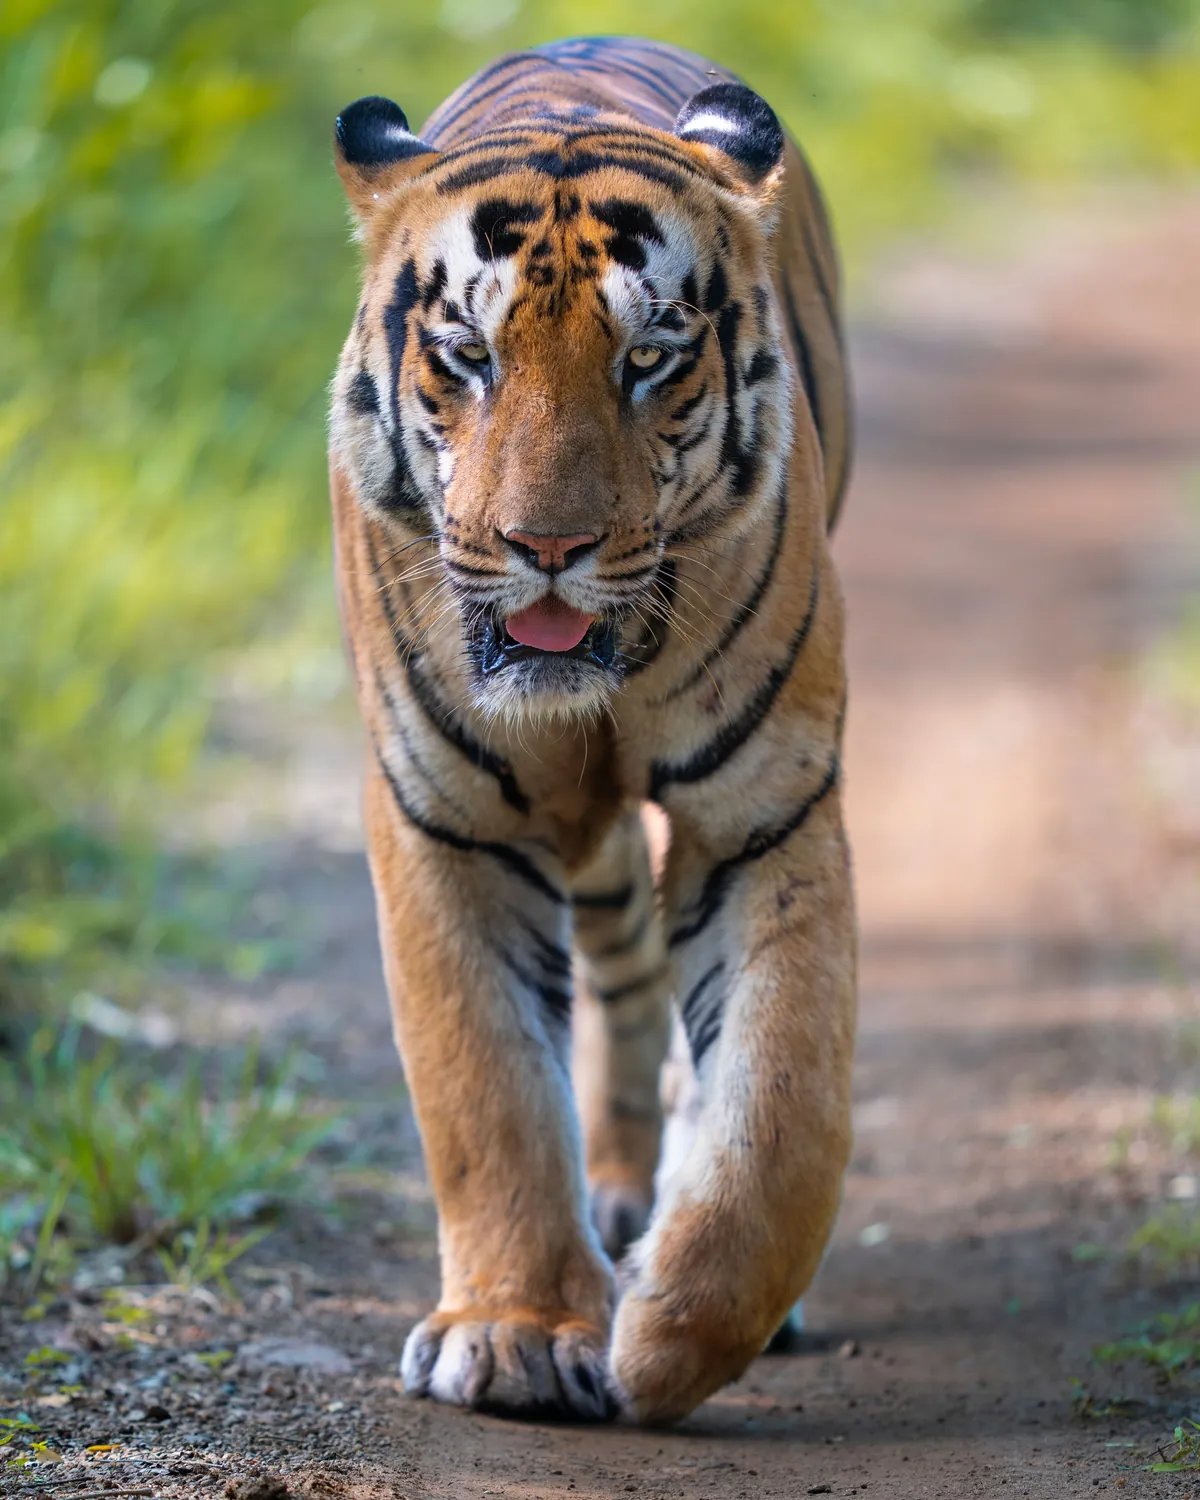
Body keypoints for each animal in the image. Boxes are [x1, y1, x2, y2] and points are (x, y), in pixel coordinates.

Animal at [328, 36, 855, 1425]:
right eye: (466, 353)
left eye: (651, 358)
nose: (546, 548)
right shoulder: (443, 820)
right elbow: (487, 1088)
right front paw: (515, 1337)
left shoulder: (764, 812)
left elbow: (784, 1103)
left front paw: (675, 1337)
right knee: (619, 965)